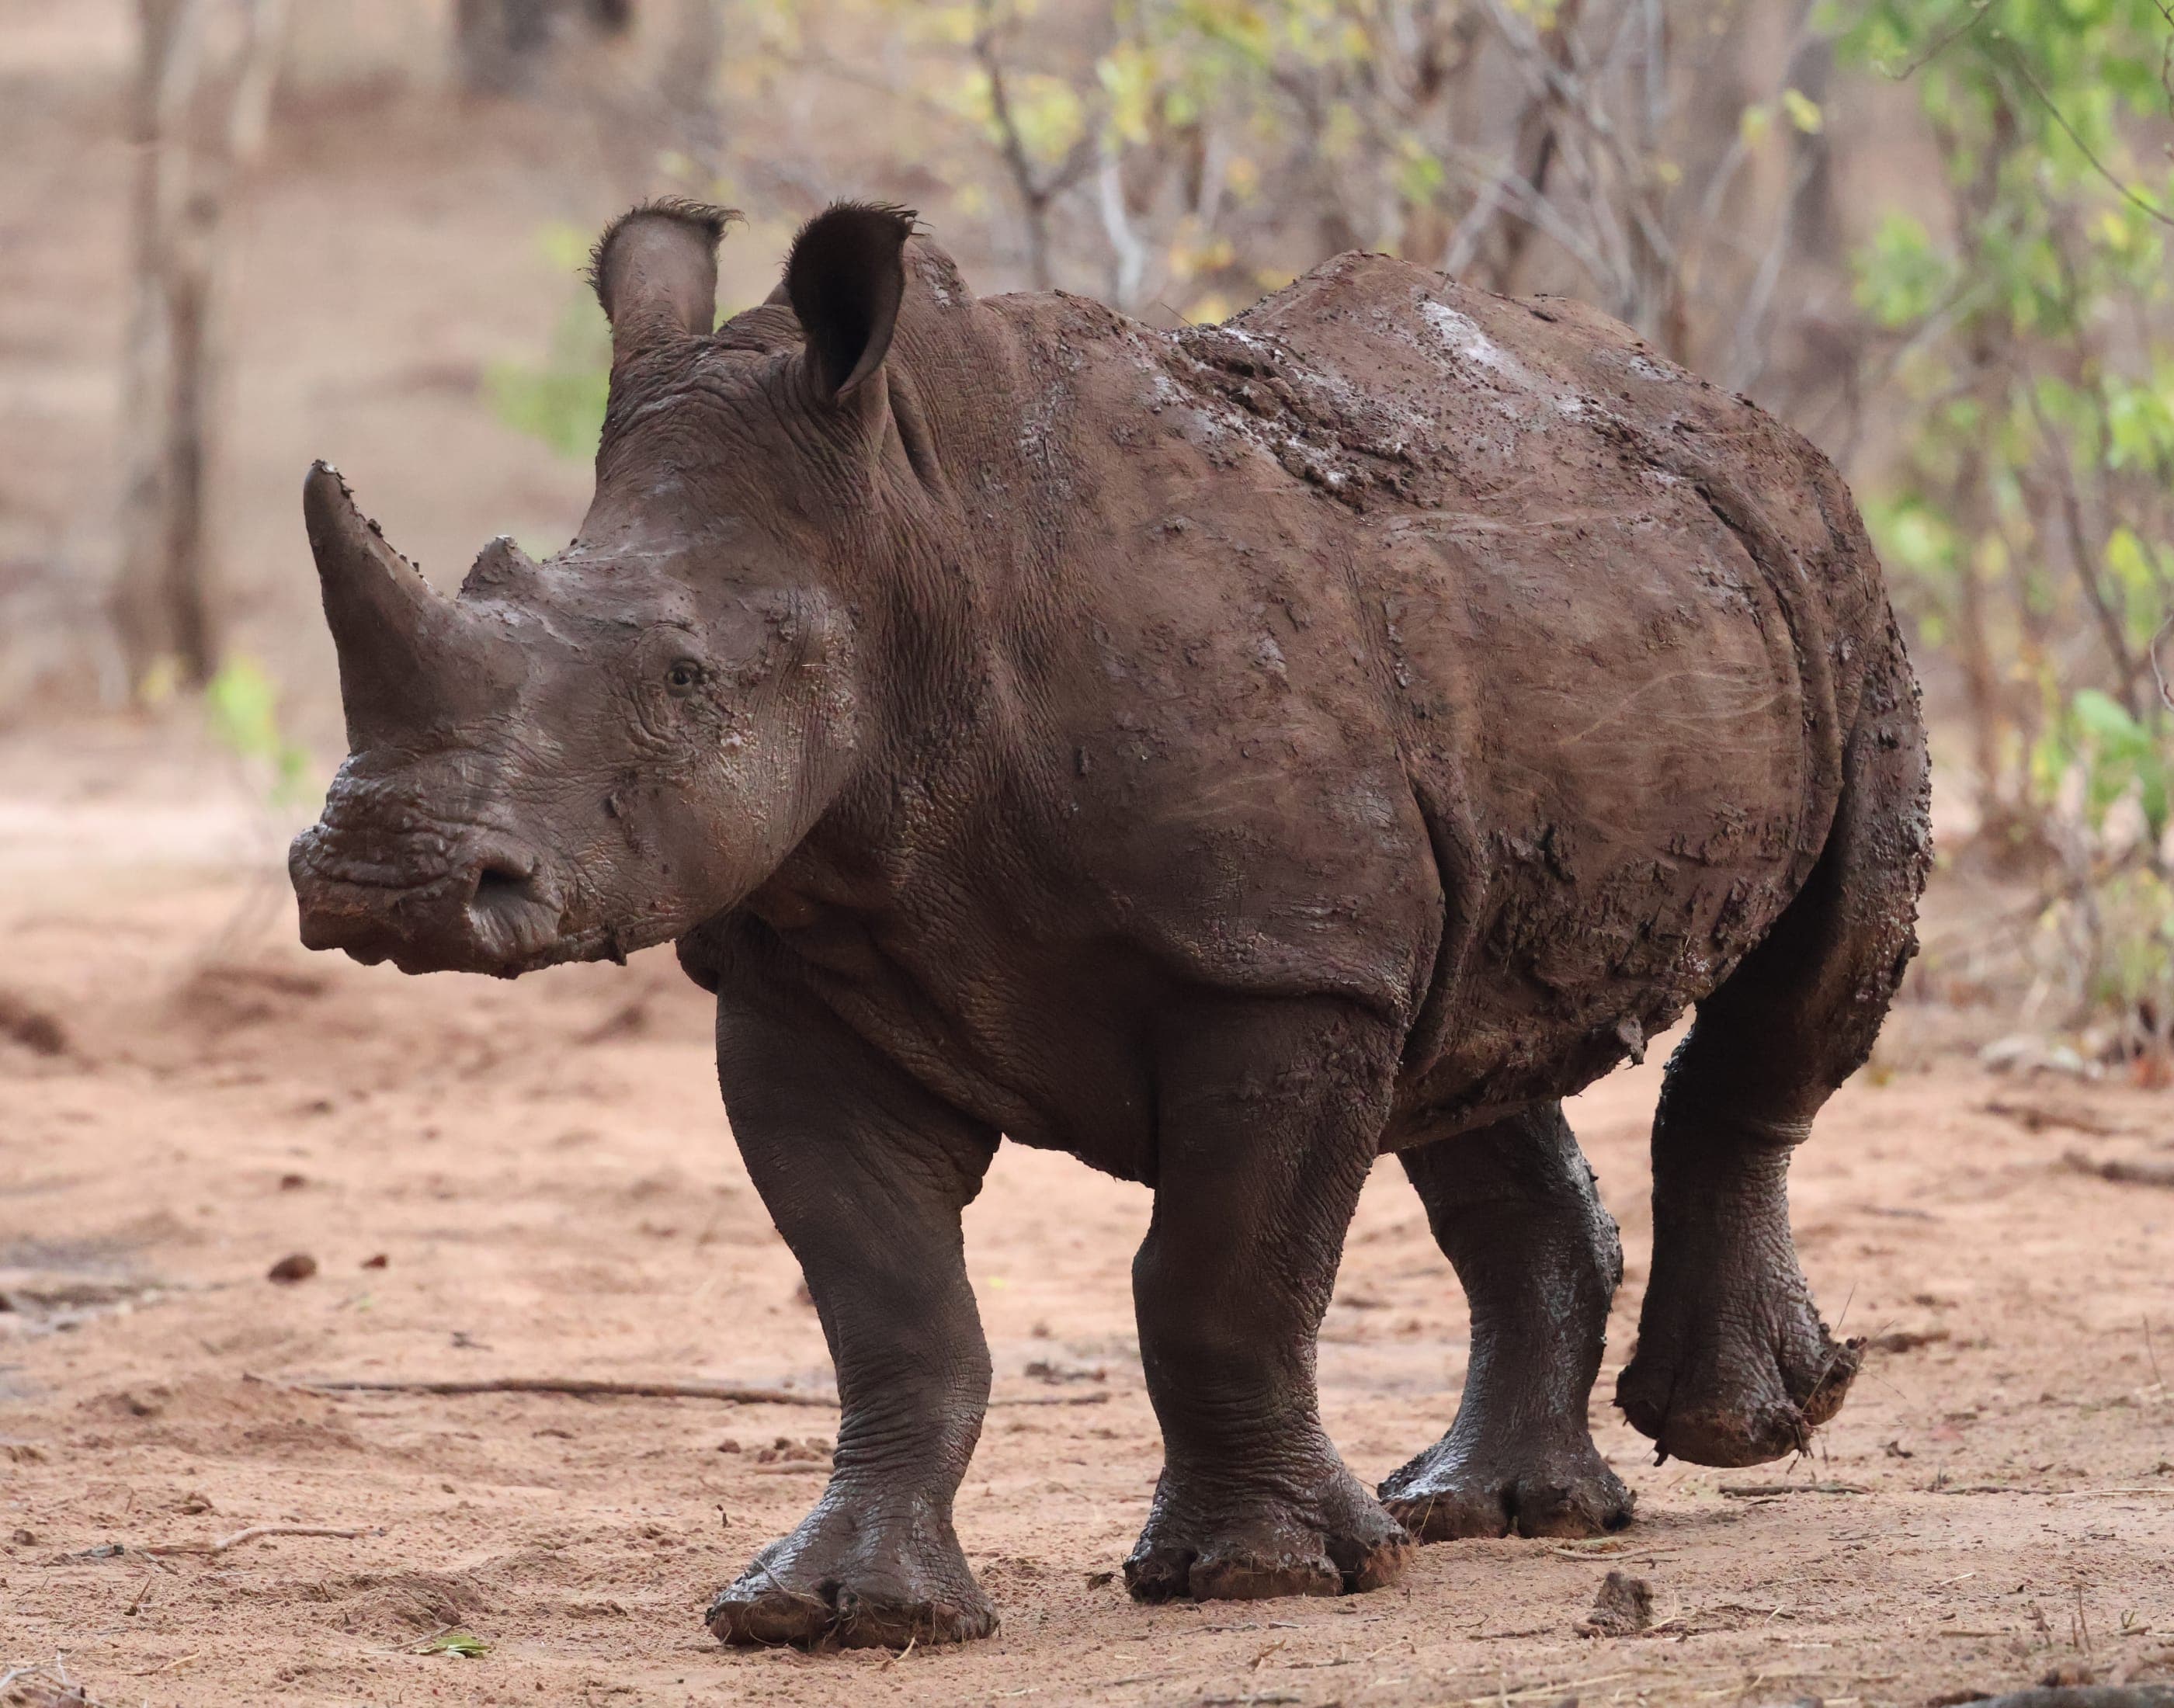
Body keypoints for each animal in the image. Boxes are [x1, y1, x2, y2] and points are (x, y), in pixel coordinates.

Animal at [290, 199, 1929, 1649]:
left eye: (684, 680)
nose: (381, 882)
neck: (910, 556)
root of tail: (1689, 395)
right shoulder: (807, 974)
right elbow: (891, 1306)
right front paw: (832, 1613)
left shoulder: (1274, 971)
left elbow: (1217, 1279)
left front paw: (1260, 1579)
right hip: (1535, 665)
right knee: (1468, 1031)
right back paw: (1496, 1512)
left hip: (1835, 573)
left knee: (1806, 974)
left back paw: (1728, 1431)